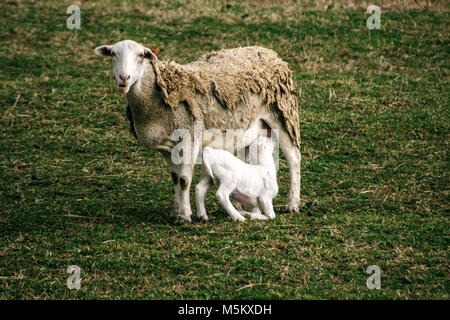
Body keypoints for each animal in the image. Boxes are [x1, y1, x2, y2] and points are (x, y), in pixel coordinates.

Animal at [93, 40, 300, 224]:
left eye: (140, 56)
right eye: (114, 54)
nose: (124, 78)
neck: (156, 99)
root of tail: (268, 51)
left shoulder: (189, 137)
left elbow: (184, 180)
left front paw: (185, 216)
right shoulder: (166, 147)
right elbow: (175, 178)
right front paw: (177, 212)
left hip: (282, 117)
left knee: (294, 158)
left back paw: (293, 204)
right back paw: (249, 208)